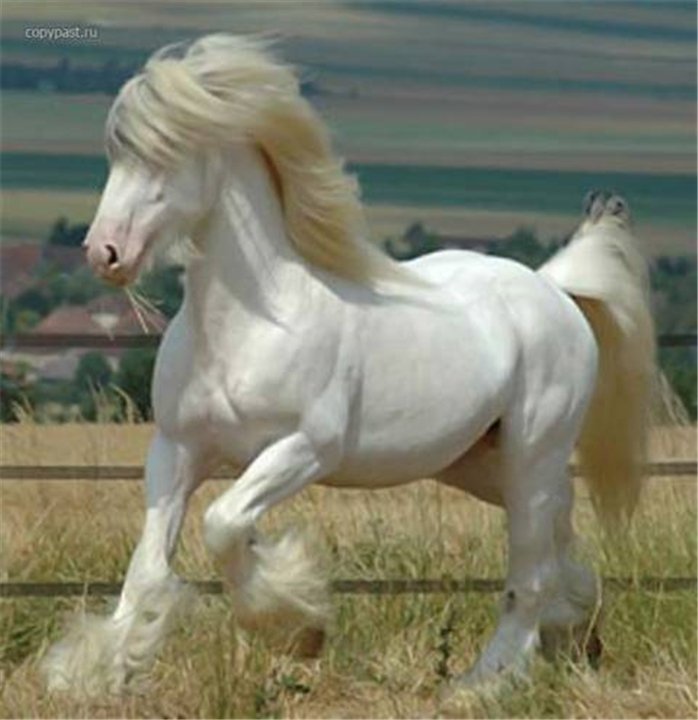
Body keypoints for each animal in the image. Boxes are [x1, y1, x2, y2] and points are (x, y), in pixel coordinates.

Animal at [43, 35, 660, 699]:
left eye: (168, 153)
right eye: (116, 155)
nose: (106, 253)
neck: (252, 323)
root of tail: (552, 288)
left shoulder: (306, 448)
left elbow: (224, 524)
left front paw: (296, 625)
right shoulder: (175, 451)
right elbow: (149, 570)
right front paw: (97, 674)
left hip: (532, 453)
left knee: (530, 567)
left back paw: (481, 684)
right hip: (476, 463)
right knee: (556, 533)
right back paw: (573, 626)